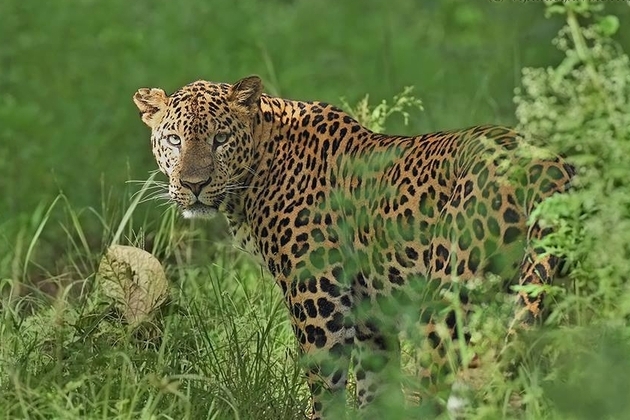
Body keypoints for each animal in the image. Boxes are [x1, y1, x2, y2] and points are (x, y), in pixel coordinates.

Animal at [133, 74, 576, 416]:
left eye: (221, 138)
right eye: (173, 140)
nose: (194, 185)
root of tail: (546, 165)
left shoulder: (319, 304)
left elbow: (326, 391)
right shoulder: (371, 316)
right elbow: (373, 391)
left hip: (448, 304)